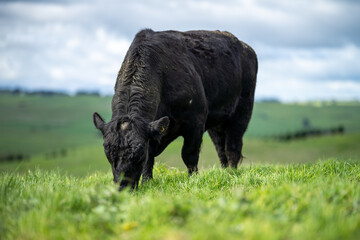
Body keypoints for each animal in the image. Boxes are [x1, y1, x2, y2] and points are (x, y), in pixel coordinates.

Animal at [93, 28, 256, 189]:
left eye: (139, 154)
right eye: (108, 154)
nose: (122, 187)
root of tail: (244, 46)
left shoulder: (195, 122)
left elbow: (189, 154)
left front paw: (193, 179)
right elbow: (150, 158)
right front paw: (147, 181)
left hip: (242, 112)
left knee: (232, 147)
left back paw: (232, 173)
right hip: (217, 121)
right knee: (220, 148)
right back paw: (225, 171)